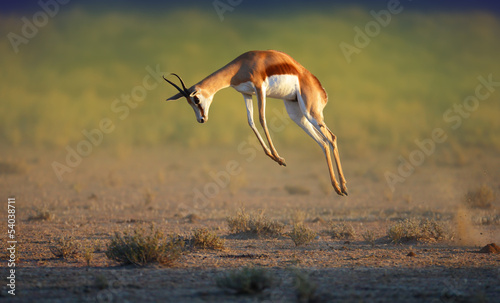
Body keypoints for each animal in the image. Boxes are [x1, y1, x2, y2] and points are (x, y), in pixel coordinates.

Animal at [164, 50, 348, 197]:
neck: (241, 66)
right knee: (323, 142)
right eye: (189, 103)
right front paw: (276, 158)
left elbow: (261, 119)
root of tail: (321, 90)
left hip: (311, 113)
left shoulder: (260, 88)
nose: (201, 119)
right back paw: (337, 188)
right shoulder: (246, 94)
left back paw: (343, 187)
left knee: (331, 137)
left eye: (196, 99)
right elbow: (251, 122)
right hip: (297, 114)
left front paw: (279, 158)